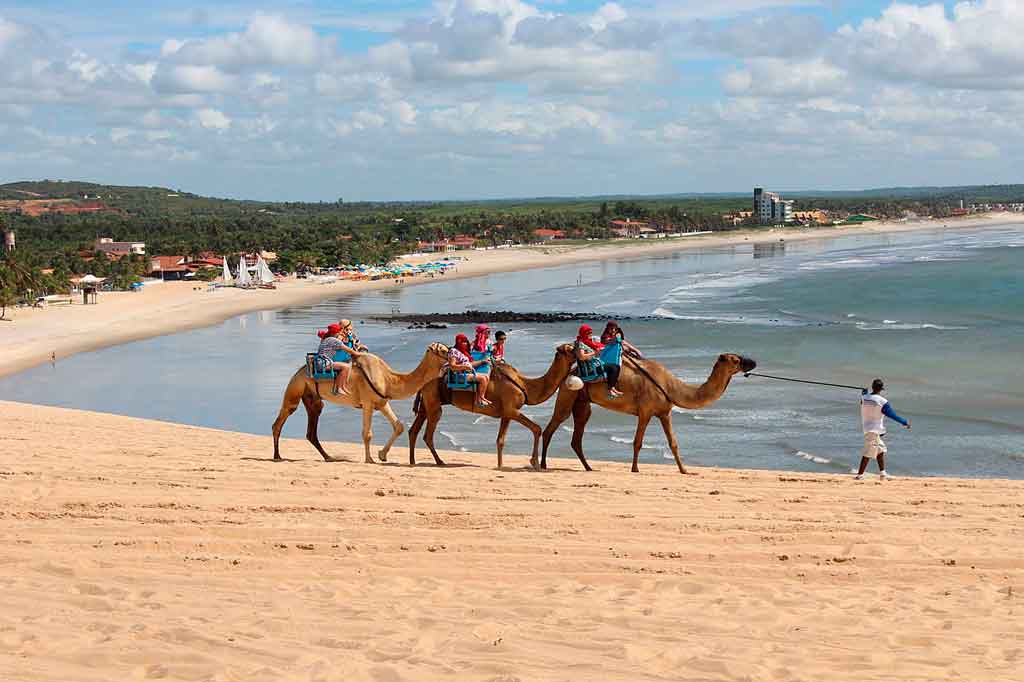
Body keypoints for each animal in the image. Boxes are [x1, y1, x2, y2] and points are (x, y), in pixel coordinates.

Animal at [270, 342, 450, 458]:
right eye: (443, 350)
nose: (452, 356)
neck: (388, 378)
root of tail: (298, 372)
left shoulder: (382, 402)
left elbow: (398, 426)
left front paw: (382, 455)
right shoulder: (368, 403)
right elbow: (367, 434)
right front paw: (369, 459)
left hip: (312, 398)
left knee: (311, 430)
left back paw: (329, 457)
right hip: (295, 388)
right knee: (281, 419)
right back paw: (277, 455)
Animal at [409, 346, 585, 466]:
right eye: (570, 348)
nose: (582, 351)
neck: (525, 385)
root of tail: (423, 384)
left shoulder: (506, 414)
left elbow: (500, 440)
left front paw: (500, 466)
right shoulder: (512, 409)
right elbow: (536, 428)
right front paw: (534, 462)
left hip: (427, 403)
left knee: (414, 430)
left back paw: (412, 461)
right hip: (434, 403)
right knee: (428, 434)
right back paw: (439, 462)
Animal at [544, 350, 753, 473]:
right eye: (735, 360)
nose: (753, 362)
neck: (671, 386)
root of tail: (570, 371)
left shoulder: (665, 413)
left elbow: (673, 443)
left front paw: (685, 470)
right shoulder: (645, 411)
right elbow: (637, 442)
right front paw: (635, 469)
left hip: (582, 402)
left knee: (577, 436)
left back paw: (589, 468)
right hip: (568, 394)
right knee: (552, 426)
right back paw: (543, 464)